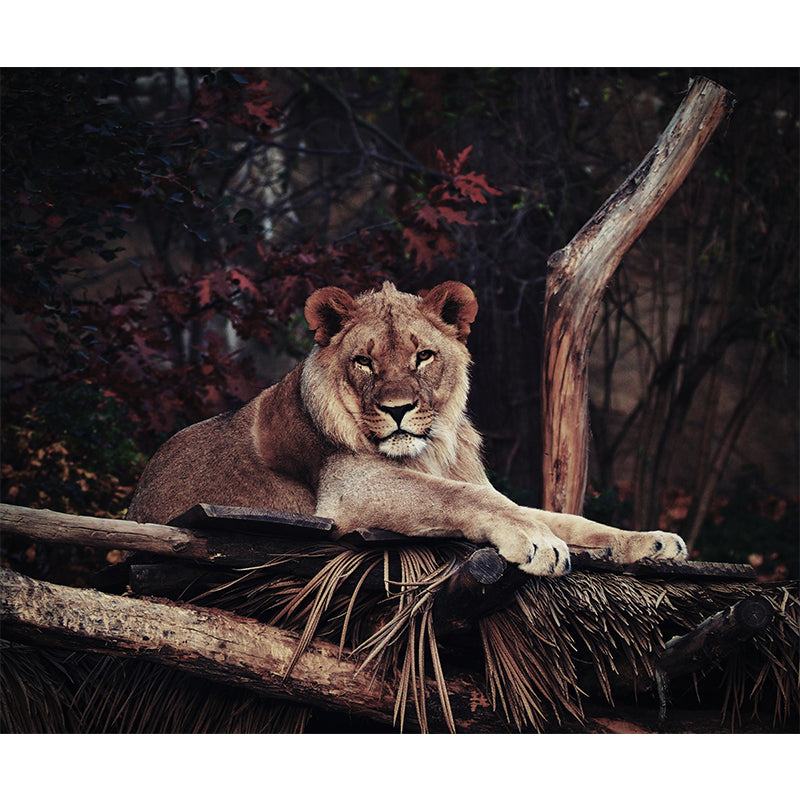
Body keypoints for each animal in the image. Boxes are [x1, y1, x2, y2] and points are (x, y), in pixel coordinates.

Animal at [128, 281, 687, 575]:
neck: (430, 450)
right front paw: (535, 540)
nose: (397, 409)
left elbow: (565, 518)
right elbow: (464, 499)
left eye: (423, 356)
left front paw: (650, 541)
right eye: (364, 362)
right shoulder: (349, 489)